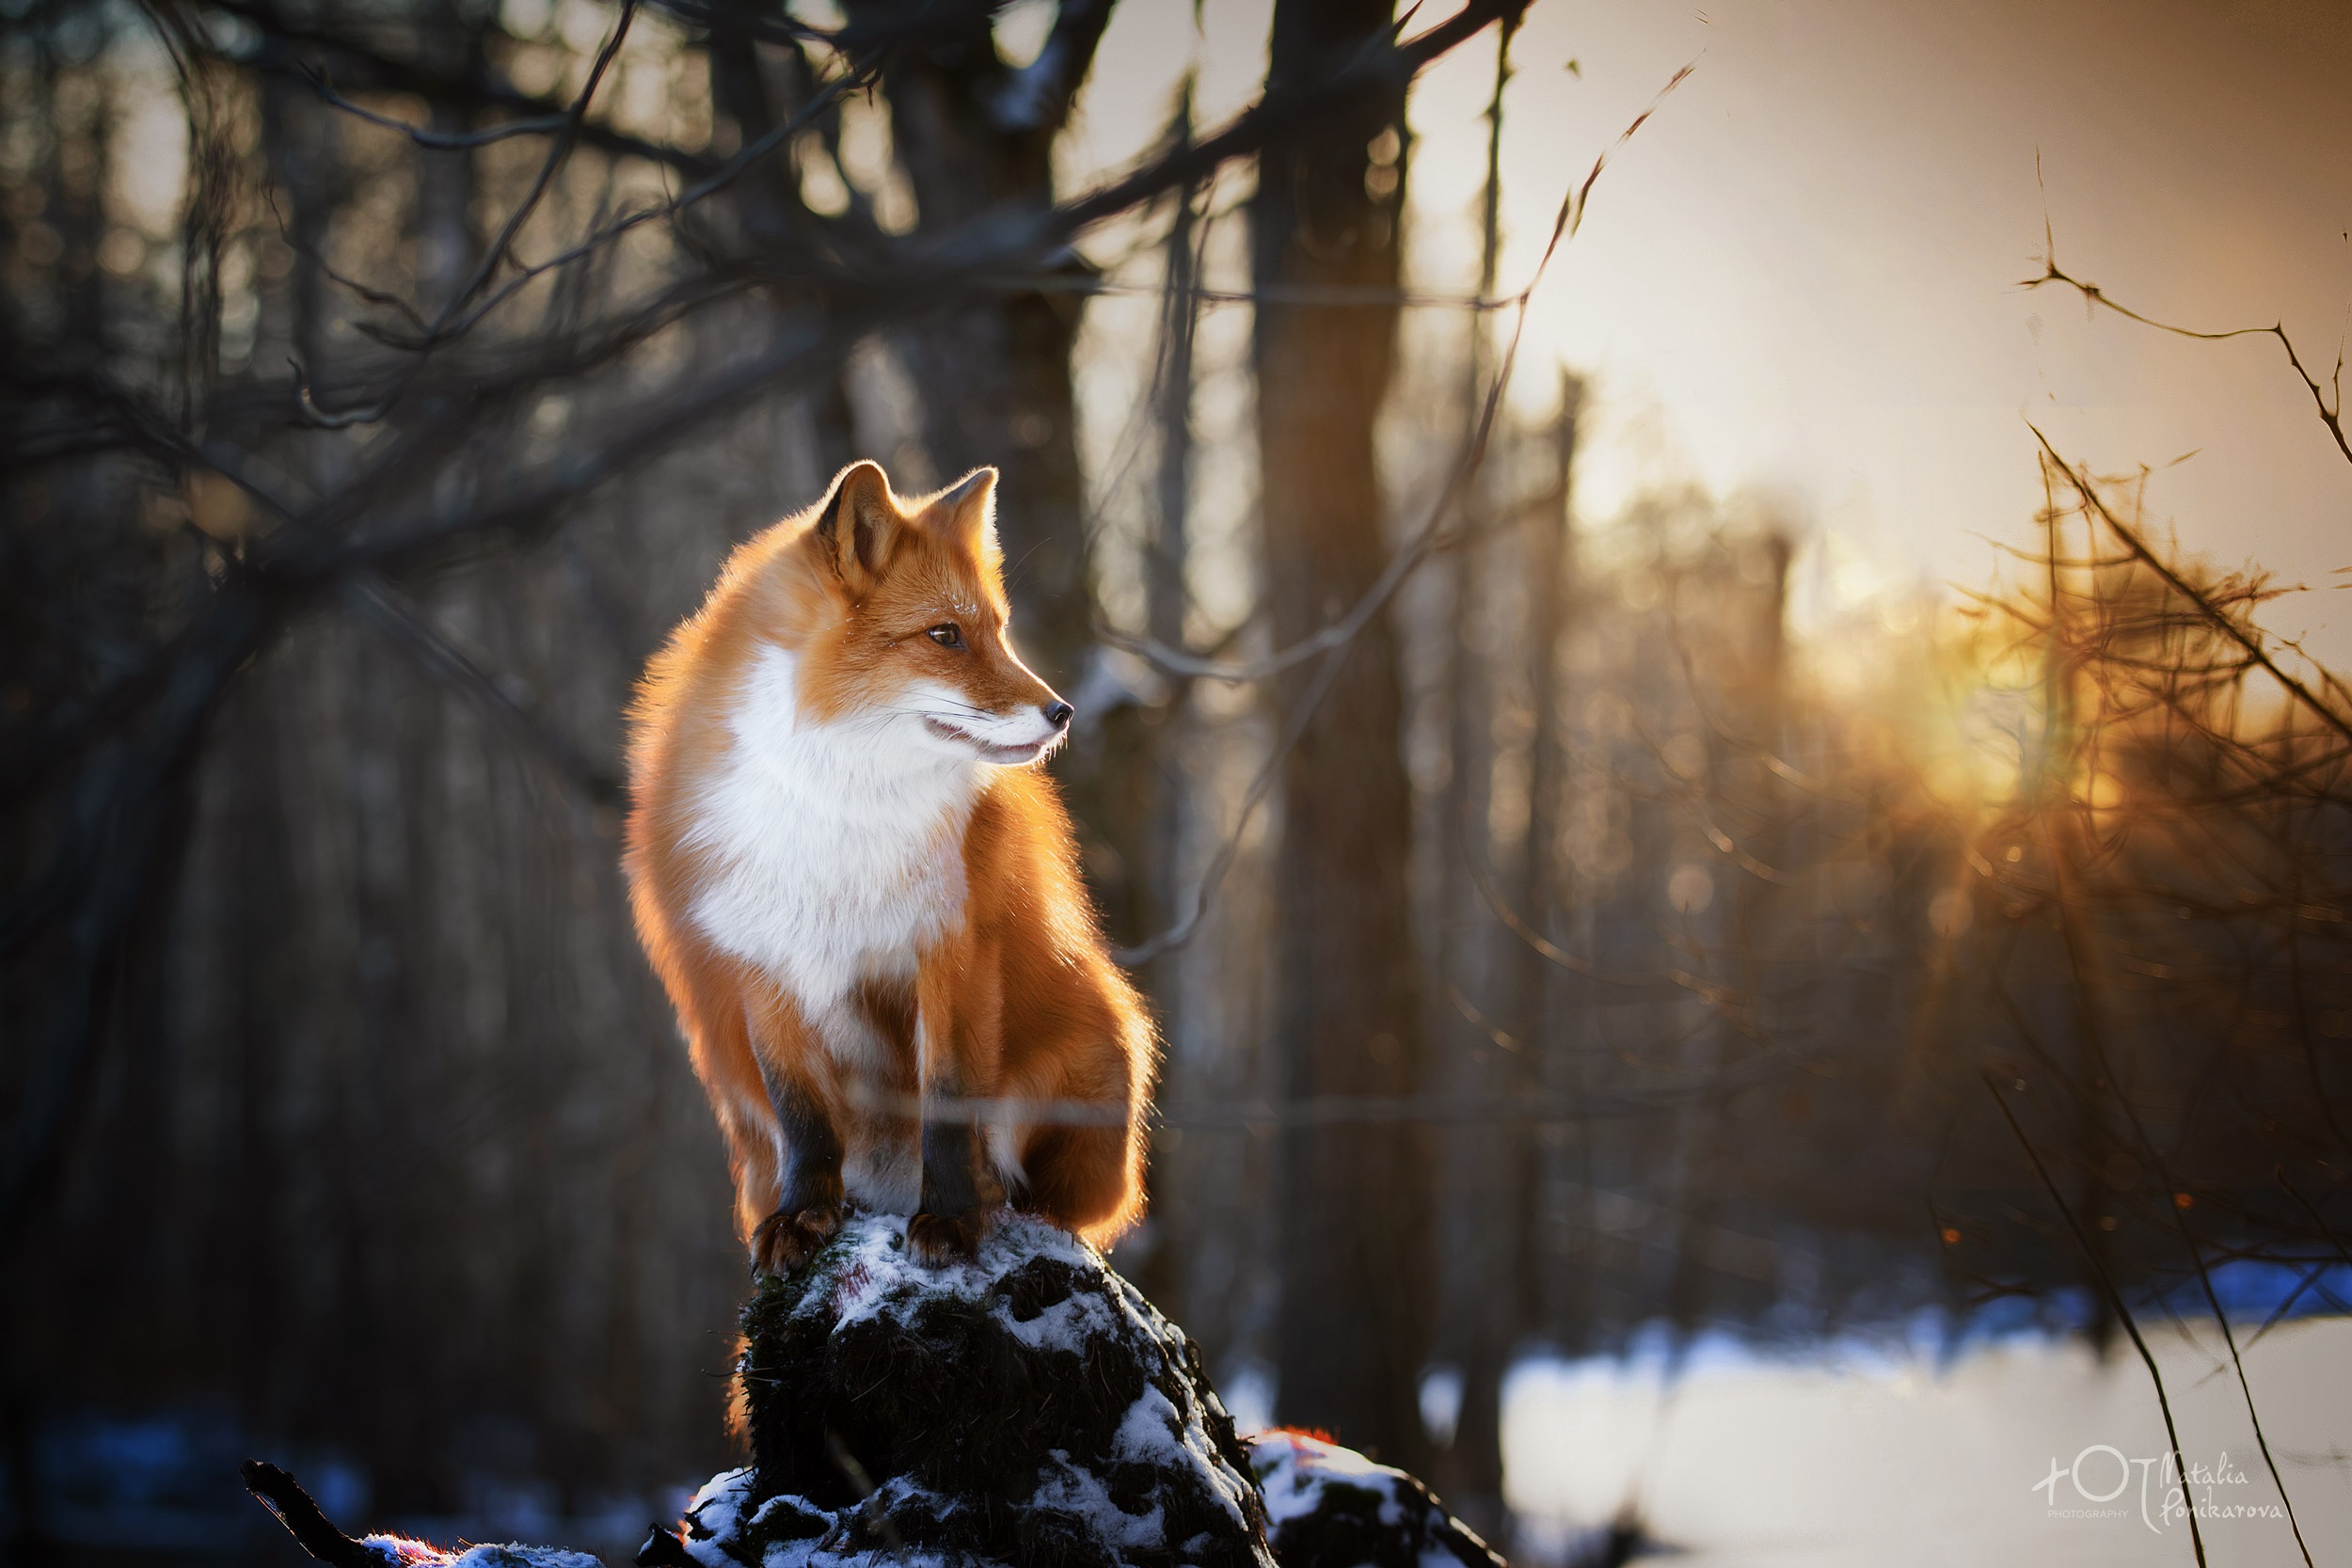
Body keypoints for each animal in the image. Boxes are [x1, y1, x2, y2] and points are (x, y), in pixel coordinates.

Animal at [623, 459, 1154, 1273]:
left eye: (997, 630)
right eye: (945, 634)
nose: (1062, 711)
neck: (837, 810)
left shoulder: (953, 947)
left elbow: (949, 1103)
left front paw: (954, 1219)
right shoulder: (763, 965)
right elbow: (804, 1116)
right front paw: (803, 1215)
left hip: (1100, 1042)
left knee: (1060, 1201)